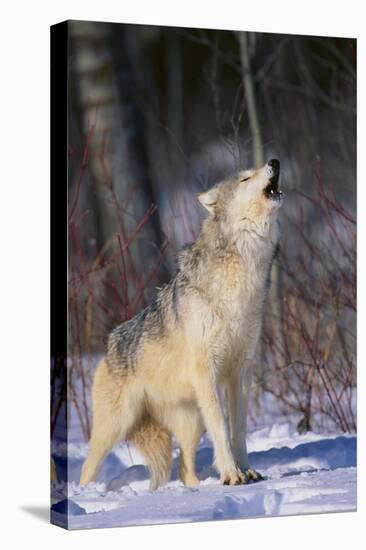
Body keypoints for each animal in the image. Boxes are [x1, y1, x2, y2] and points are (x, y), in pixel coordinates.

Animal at [80, 160, 284, 492]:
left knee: (184, 469)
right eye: (245, 178)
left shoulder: (241, 370)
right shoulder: (207, 371)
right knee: (88, 465)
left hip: (191, 423)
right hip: (114, 425)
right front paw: (232, 474)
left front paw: (246, 471)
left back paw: (192, 489)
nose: (274, 162)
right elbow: (222, 428)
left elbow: (238, 429)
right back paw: (86, 494)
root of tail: (108, 346)